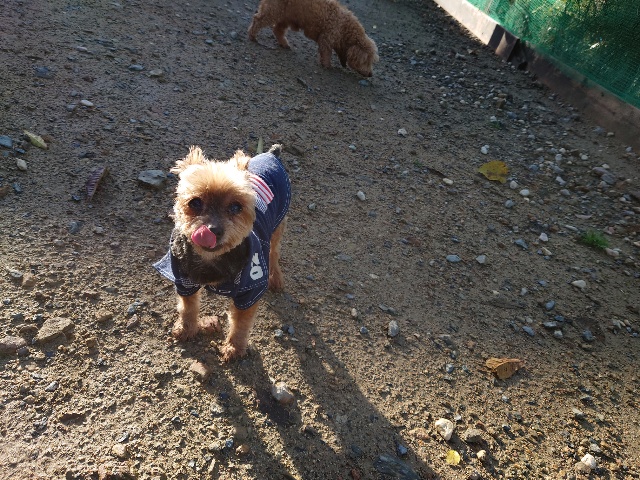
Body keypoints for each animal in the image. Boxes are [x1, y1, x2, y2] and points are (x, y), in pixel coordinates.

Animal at [154, 144, 290, 361]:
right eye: (195, 203)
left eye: (236, 207)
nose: (213, 230)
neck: (211, 262)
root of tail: (272, 154)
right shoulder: (183, 279)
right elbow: (187, 308)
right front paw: (186, 329)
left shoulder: (249, 291)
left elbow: (241, 324)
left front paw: (233, 348)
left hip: (278, 223)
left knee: (274, 252)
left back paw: (275, 278)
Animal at [248, 0, 378, 77]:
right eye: (367, 61)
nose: (371, 74)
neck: (346, 30)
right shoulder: (326, 38)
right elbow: (326, 53)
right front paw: (327, 66)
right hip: (274, 9)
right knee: (258, 19)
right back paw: (252, 36)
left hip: (285, 16)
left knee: (277, 29)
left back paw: (284, 44)